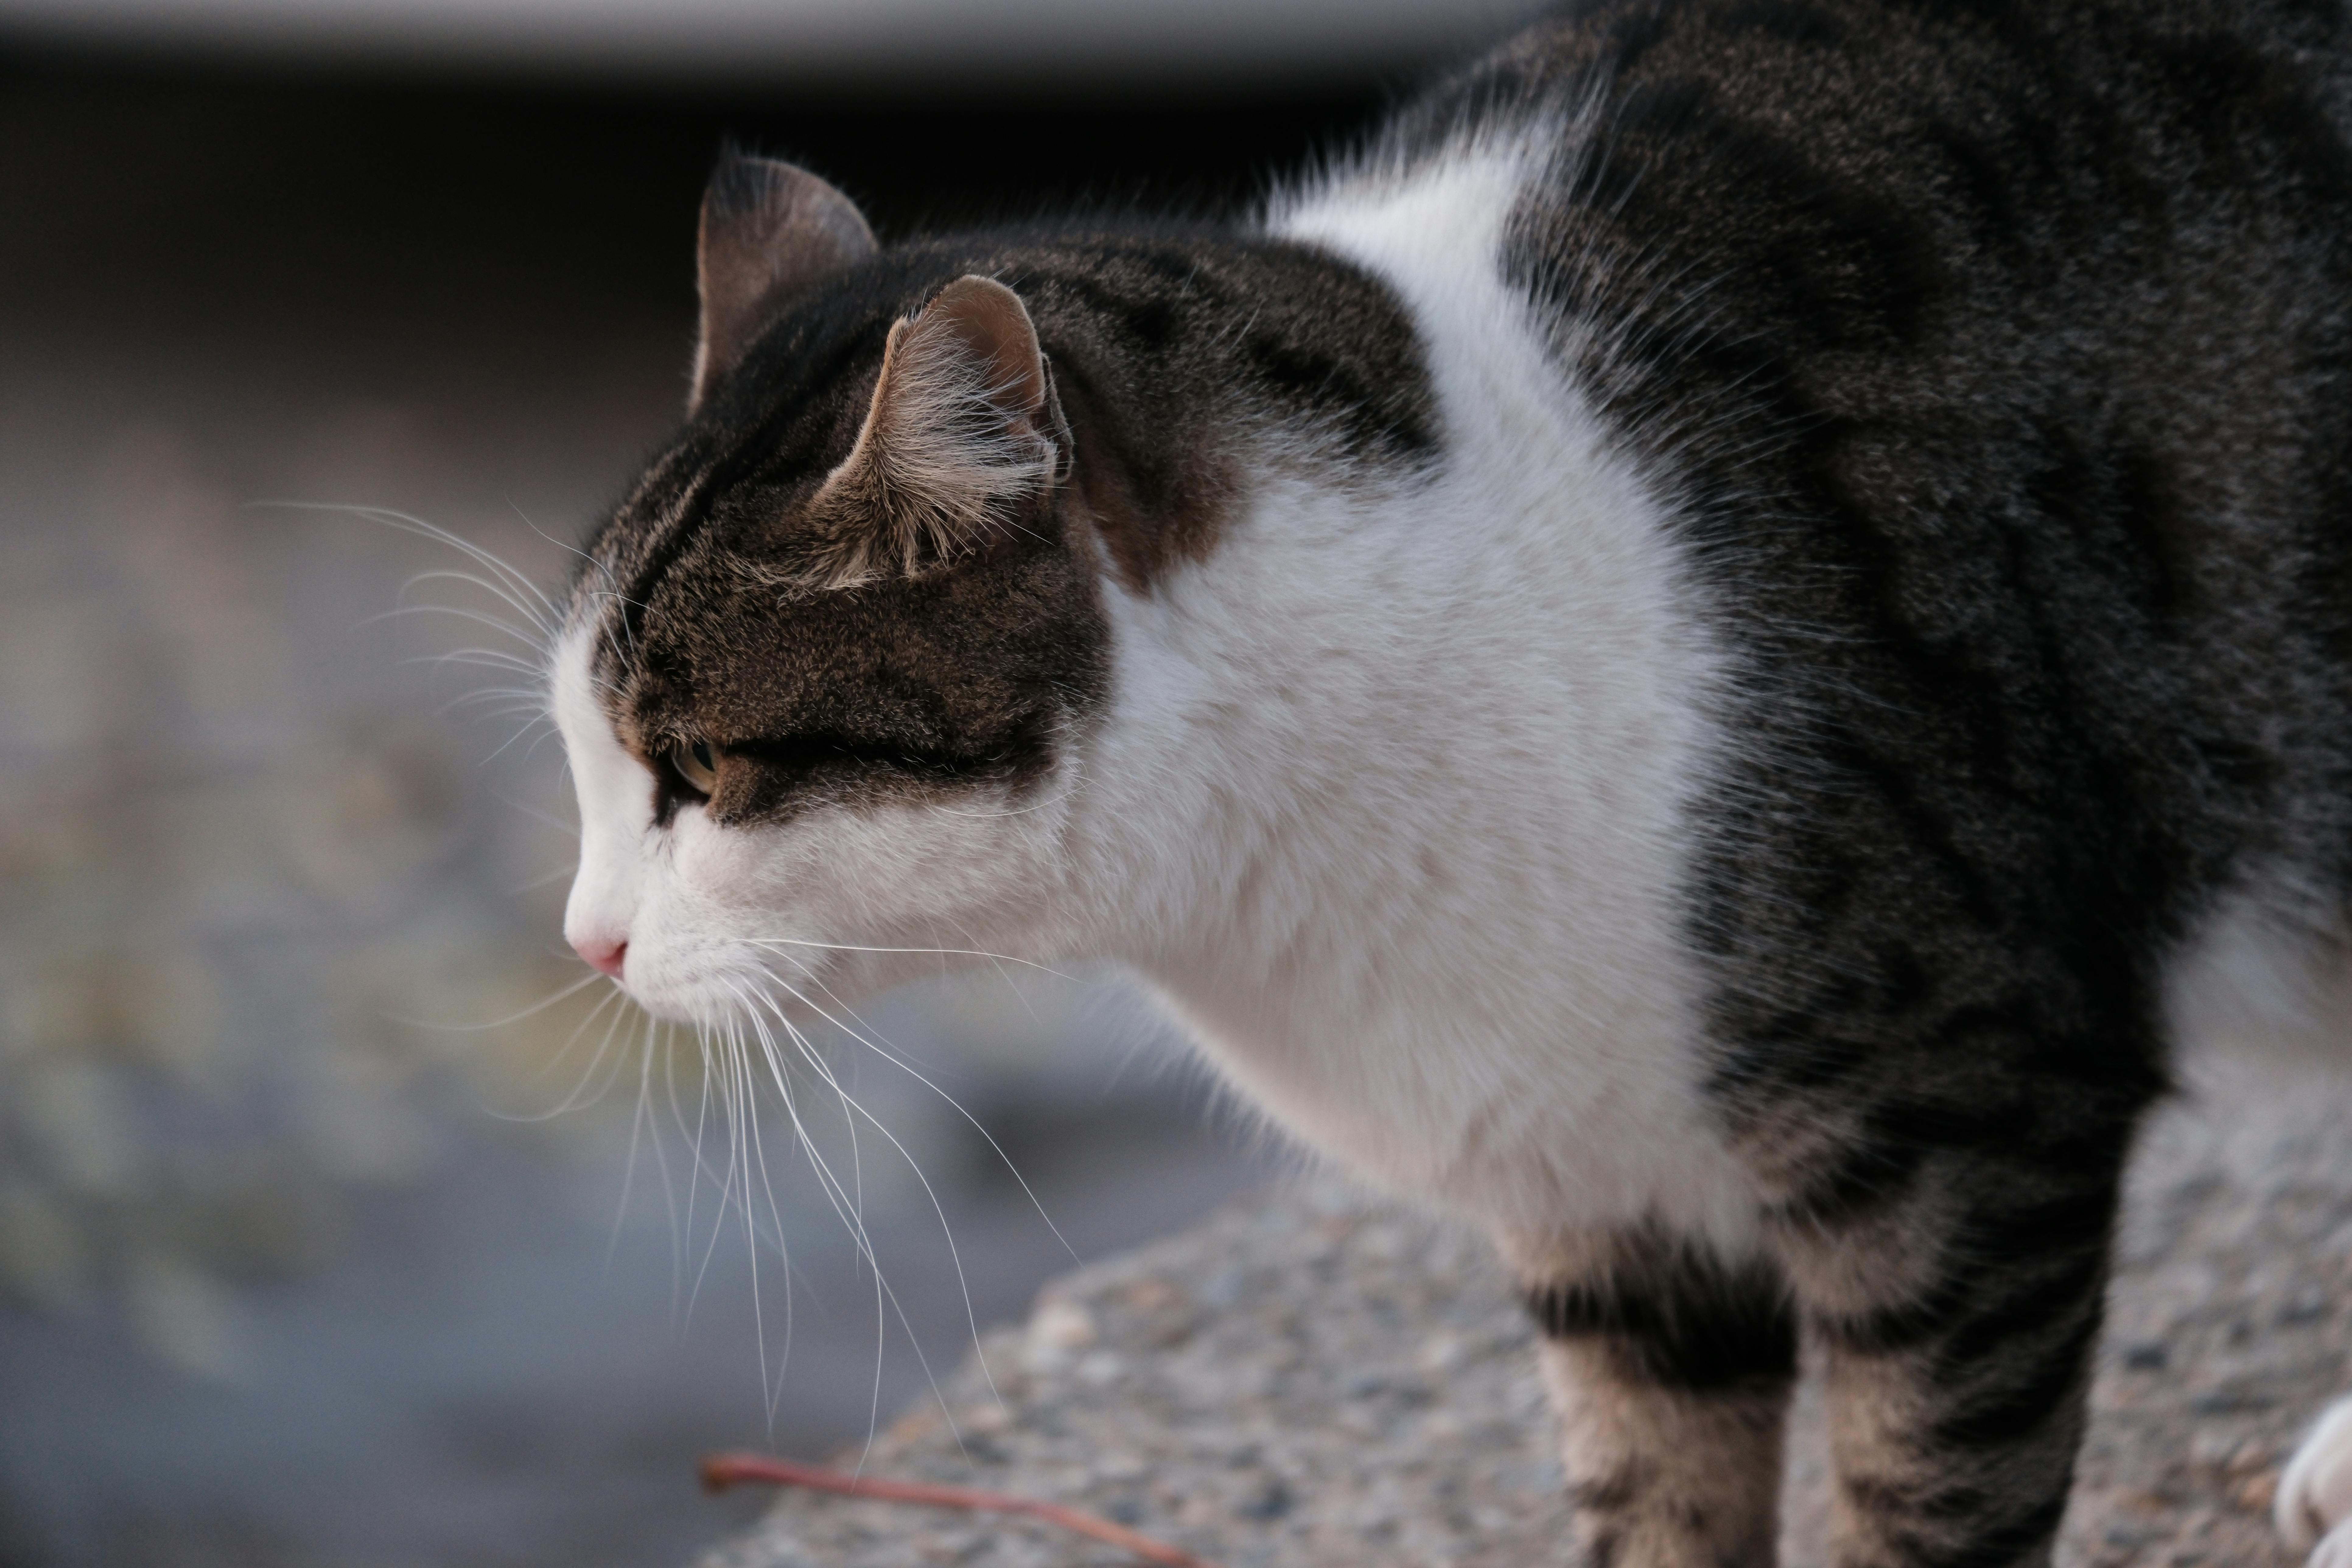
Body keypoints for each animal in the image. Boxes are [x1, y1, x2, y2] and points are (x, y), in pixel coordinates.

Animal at [555, 6, 2352, 1561]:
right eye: (581, 760)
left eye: (700, 775)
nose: (587, 944)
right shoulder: (1606, 1200)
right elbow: (1661, 1491)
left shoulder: (1970, 1109)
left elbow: (1929, 1494)